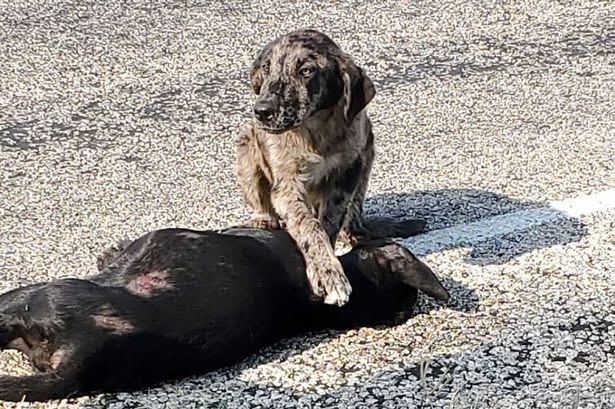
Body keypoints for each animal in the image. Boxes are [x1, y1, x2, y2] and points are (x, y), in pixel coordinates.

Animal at [235, 28, 424, 304]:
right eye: (267, 68)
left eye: (306, 71)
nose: (262, 111)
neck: (315, 130)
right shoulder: (287, 184)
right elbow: (308, 225)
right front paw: (327, 273)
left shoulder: (348, 172)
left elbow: (330, 222)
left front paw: (326, 268)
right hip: (246, 146)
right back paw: (264, 221)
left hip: (368, 150)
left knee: (352, 219)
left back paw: (357, 231)